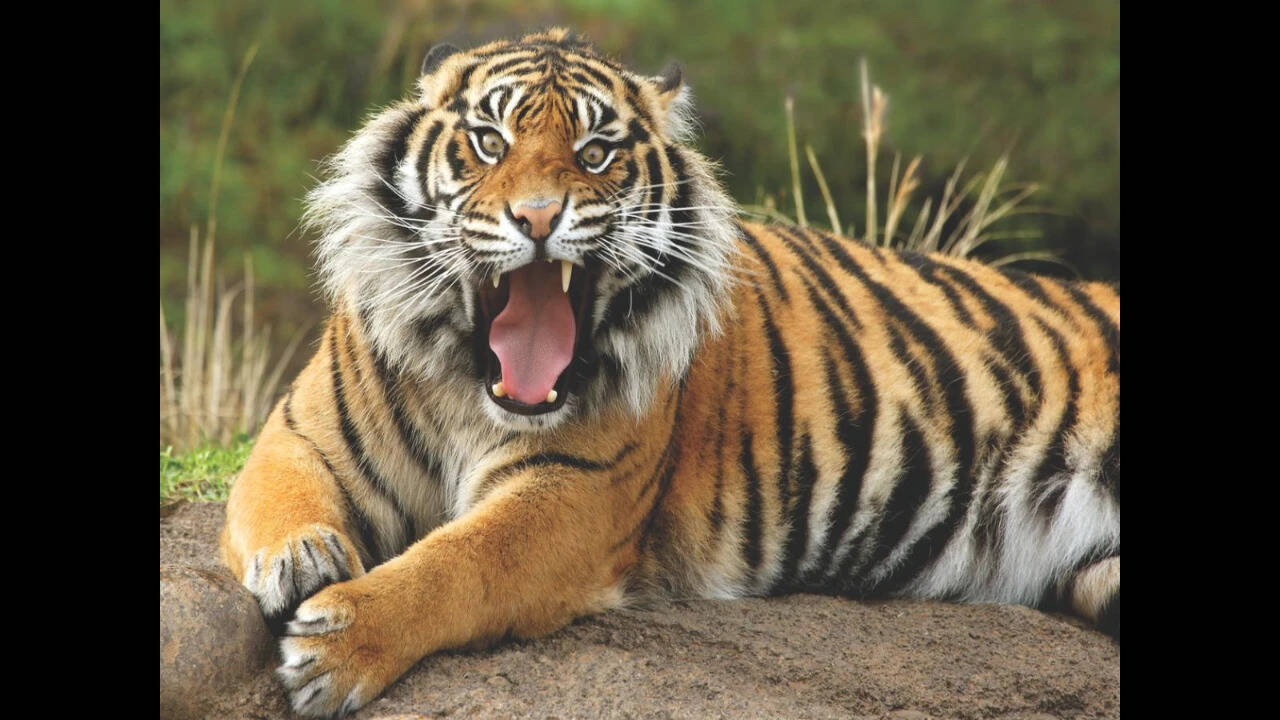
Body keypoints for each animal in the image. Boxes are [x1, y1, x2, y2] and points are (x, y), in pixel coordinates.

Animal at [219, 28, 1120, 718]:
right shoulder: (300, 431)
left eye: (594, 152)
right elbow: (278, 496)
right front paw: (301, 559)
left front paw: (338, 647)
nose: (538, 218)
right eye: (490, 142)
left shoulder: (572, 492)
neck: (468, 385)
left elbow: (456, 563)